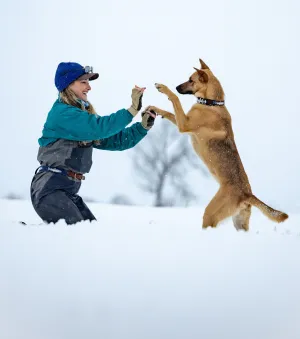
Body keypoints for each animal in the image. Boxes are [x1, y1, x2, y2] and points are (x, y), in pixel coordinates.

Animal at [148, 59, 288, 232]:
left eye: (191, 80)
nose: (176, 87)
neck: (212, 103)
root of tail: (247, 194)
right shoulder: (184, 122)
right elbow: (169, 112)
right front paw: (155, 109)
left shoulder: (184, 124)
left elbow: (175, 101)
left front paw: (164, 88)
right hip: (239, 222)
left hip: (211, 213)